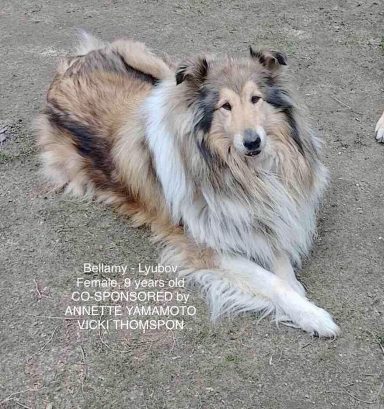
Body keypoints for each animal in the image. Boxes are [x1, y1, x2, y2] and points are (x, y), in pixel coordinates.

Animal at [36, 31, 340, 336]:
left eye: (256, 99)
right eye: (225, 106)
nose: (252, 142)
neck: (242, 172)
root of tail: (72, 63)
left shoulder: (265, 213)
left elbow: (280, 257)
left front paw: (298, 294)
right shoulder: (205, 245)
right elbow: (271, 281)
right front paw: (313, 316)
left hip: (160, 71)